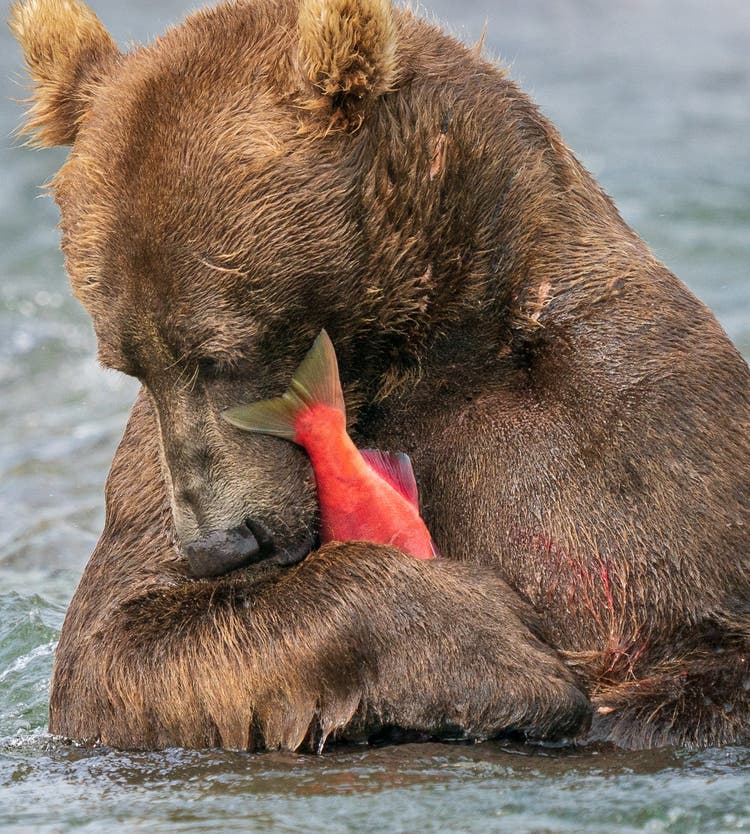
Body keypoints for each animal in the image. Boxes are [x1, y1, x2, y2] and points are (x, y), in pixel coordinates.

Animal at [11, 0, 750, 751]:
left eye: (225, 351)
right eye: (128, 364)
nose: (219, 545)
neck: (431, 343)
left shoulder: (642, 425)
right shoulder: (159, 461)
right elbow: (118, 641)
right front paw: (489, 649)